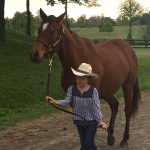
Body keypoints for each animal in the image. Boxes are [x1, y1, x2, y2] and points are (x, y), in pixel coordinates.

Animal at [30, 8, 141, 147]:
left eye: (52, 31)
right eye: (39, 29)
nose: (34, 54)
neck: (78, 61)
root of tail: (128, 48)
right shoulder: (73, 98)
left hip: (127, 85)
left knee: (127, 110)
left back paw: (124, 139)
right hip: (106, 91)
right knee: (115, 106)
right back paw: (110, 137)